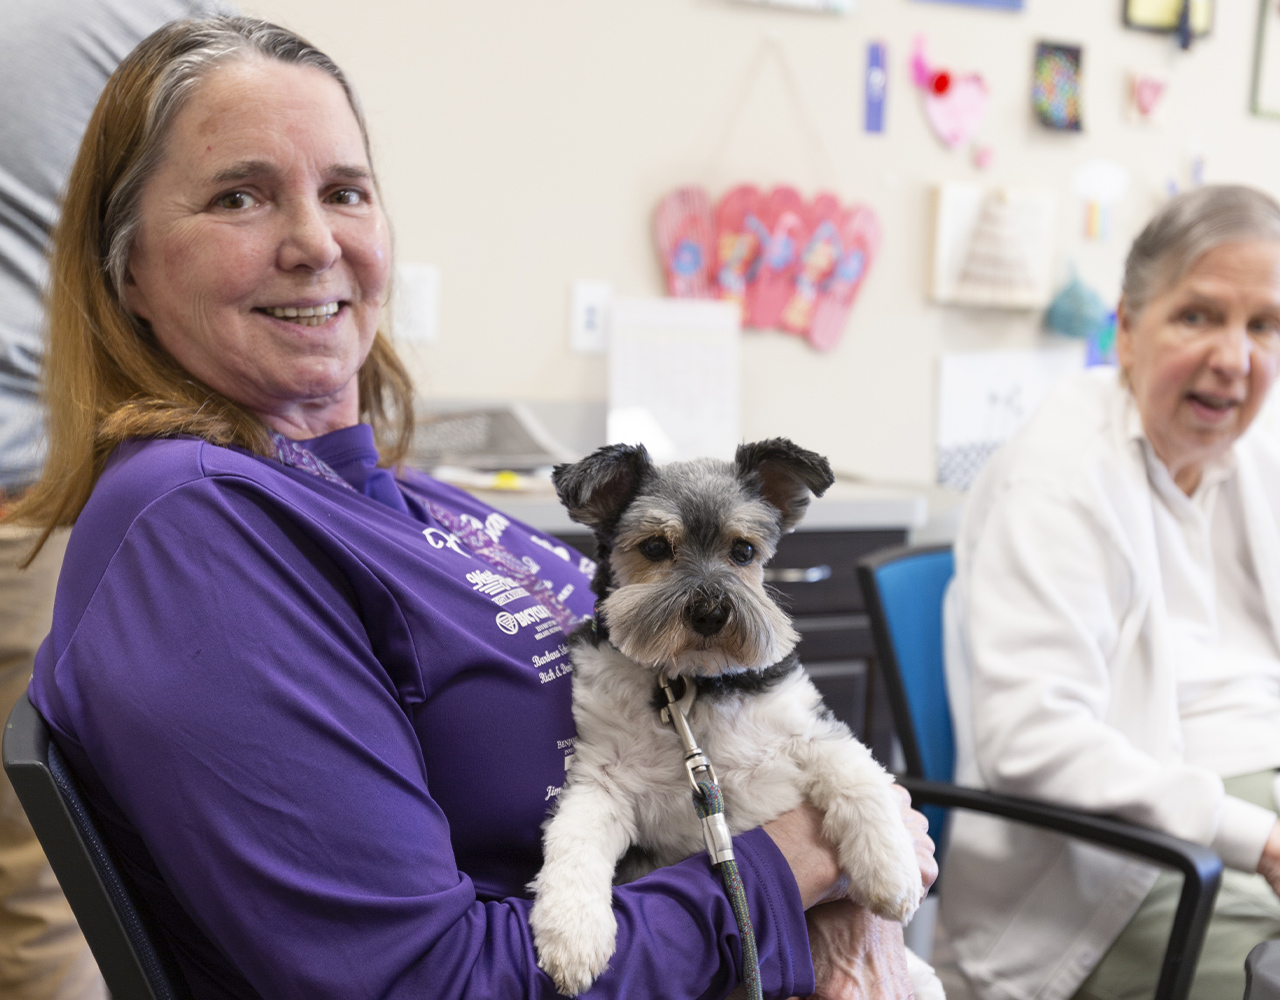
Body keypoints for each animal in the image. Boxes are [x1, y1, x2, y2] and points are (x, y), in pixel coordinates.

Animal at [529, 440, 942, 993]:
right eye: (655, 547)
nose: (709, 613)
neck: (694, 685)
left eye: (743, 551)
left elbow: (861, 780)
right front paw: (572, 934)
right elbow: (574, 837)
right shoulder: (602, 778)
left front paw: (890, 871)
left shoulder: (812, 731)